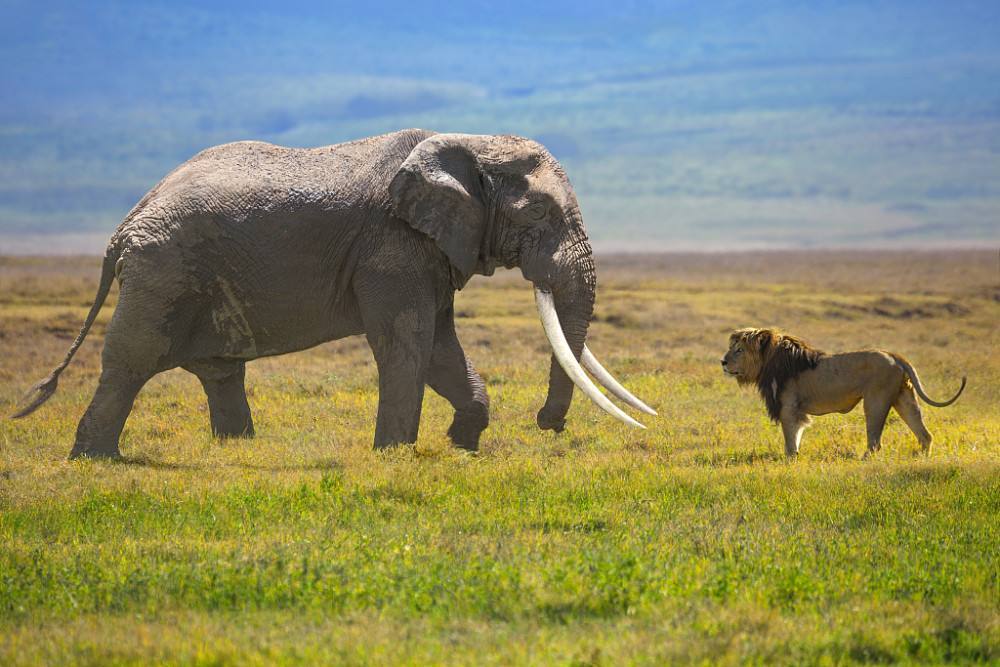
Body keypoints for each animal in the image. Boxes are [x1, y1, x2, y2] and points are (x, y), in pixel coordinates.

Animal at [15, 130, 660, 460]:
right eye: (541, 213)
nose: (546, 424)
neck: (465, 140)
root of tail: (126, 225)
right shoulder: (393, 245)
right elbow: (408, 342)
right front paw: (395, 455)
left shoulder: (429, 249)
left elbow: (440, 346)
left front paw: (463, 443)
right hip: (163, 272)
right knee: (131, 361)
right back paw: (94, 459)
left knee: (220, 370)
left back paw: (239, 451)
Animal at [724, 328, 964, 460]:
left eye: (739, 350)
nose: (722, 362)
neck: (767, 362)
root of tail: (894, 355)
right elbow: (795, 437)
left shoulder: (789, 408)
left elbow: (791, 439)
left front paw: (790, 460)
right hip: (904, 397)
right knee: (925, 434)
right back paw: (922, 457)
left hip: (875, 400)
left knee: (875, 442)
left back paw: (864, 459)